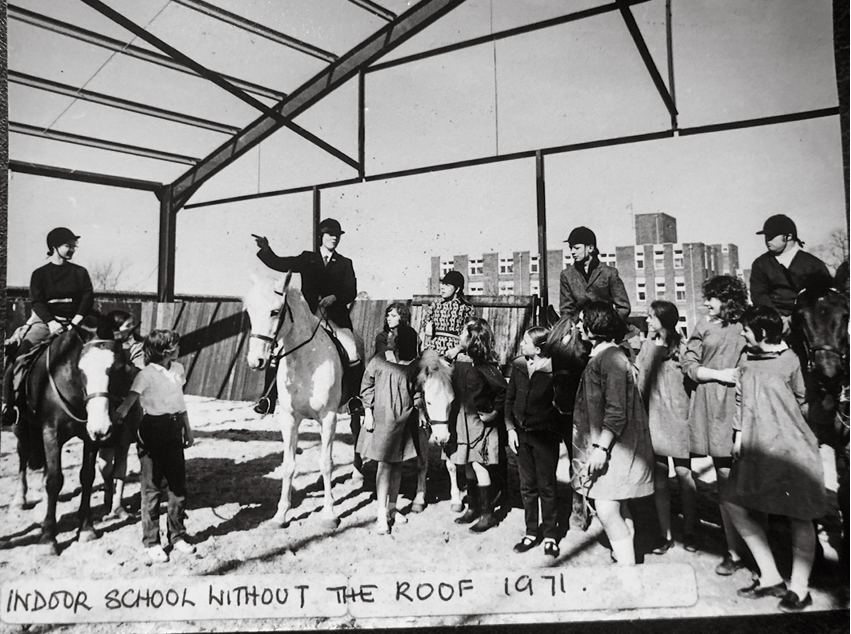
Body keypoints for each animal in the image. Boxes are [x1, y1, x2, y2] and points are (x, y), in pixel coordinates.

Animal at [13, 318, 134, 553]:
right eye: (81, 368)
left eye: (118, 368)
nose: (102, 427)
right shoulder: (50, 432)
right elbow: (54, 480)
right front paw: (48, 538)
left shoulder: (90, 437)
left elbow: (87, 476)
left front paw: (86, 528)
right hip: (21, 425)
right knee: (22, 455)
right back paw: (20, 498)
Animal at [244, 272, 344, 528]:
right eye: (250, 311)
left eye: (275, 311)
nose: (255, 361)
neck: (305, 360)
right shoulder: (289, 419)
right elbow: (288, 466)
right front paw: (281, 514)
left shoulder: (329, 417)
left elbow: (326, 463)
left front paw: (329, 513)